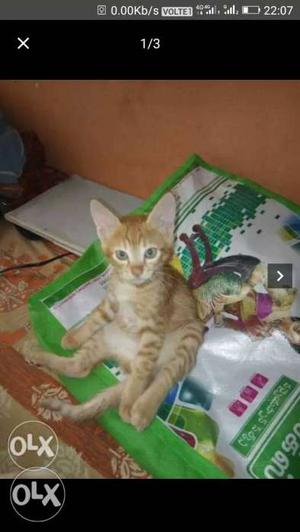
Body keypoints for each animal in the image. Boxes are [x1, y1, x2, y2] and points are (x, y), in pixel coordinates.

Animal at [24, 193, 204, 430]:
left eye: (150, 252)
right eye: (121, 255)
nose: (137, 271)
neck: (133, 289)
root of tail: (126, 359)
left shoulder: (153, 329)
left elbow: (142, 371)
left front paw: (128, 404)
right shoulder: (111, 303)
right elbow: (95, 317)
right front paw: (73, 337)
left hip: (192, 333)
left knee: (163, 376)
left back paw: (141, 409)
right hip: (106, 335)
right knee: (79, 367)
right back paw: (35, 353)